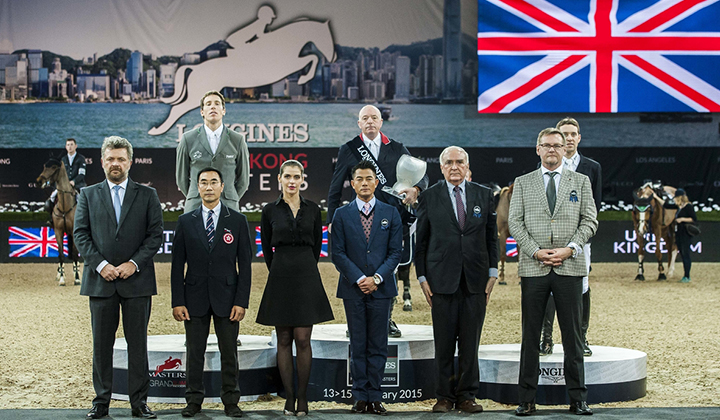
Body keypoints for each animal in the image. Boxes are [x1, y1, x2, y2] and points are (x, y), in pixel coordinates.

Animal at [36, 158, 81, 286]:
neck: (65, 206)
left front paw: (77, 278)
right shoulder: (58, 231)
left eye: (53, 167)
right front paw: (61, 279)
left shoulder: (74, 232)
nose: (39, 181)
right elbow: (60, 255)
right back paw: (60, 273)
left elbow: (75, 254)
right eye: (44, 166)